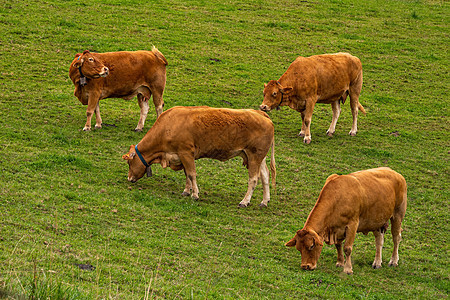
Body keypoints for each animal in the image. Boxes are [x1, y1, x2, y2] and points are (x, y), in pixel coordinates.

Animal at [123, 106, 278, 207]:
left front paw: (195, 194)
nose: (129, 178)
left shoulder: (186, 152)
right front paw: (186, 191)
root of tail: (261, 113)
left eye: (130, 163)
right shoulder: (182, 156)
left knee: (254, 179)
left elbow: (191, 174)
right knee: (265, 176)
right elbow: (187, 174)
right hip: (258, 158)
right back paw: (264, 201)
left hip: (254, 156)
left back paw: (244, 202)